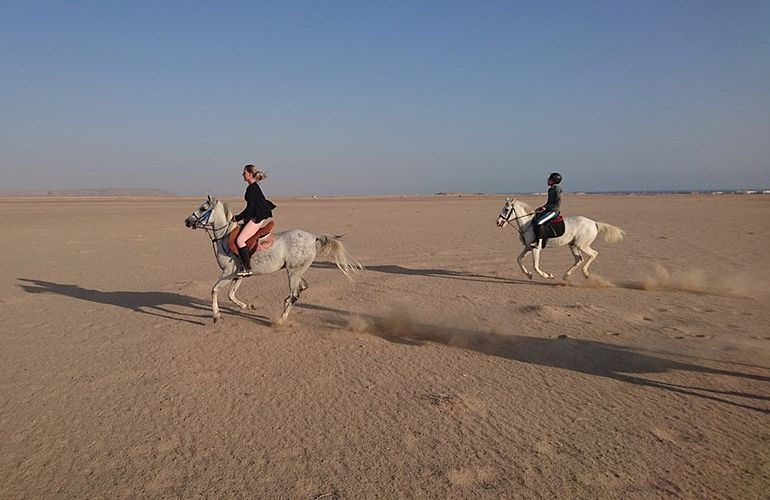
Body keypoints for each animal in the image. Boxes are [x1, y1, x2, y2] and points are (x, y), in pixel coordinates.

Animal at [184, 195, 362, 324]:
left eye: (203, 208)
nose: (187, 221)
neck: (225, 237)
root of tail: (313, 237)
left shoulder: (228, 273)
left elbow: (214, 290)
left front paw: (216, 315)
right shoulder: (237, 275)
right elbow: (231, 295)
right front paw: (247, 305)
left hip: (293, 272)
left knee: (294, 293)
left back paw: (282, 319)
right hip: (297, 271)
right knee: (301, 289)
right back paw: (285, 305)